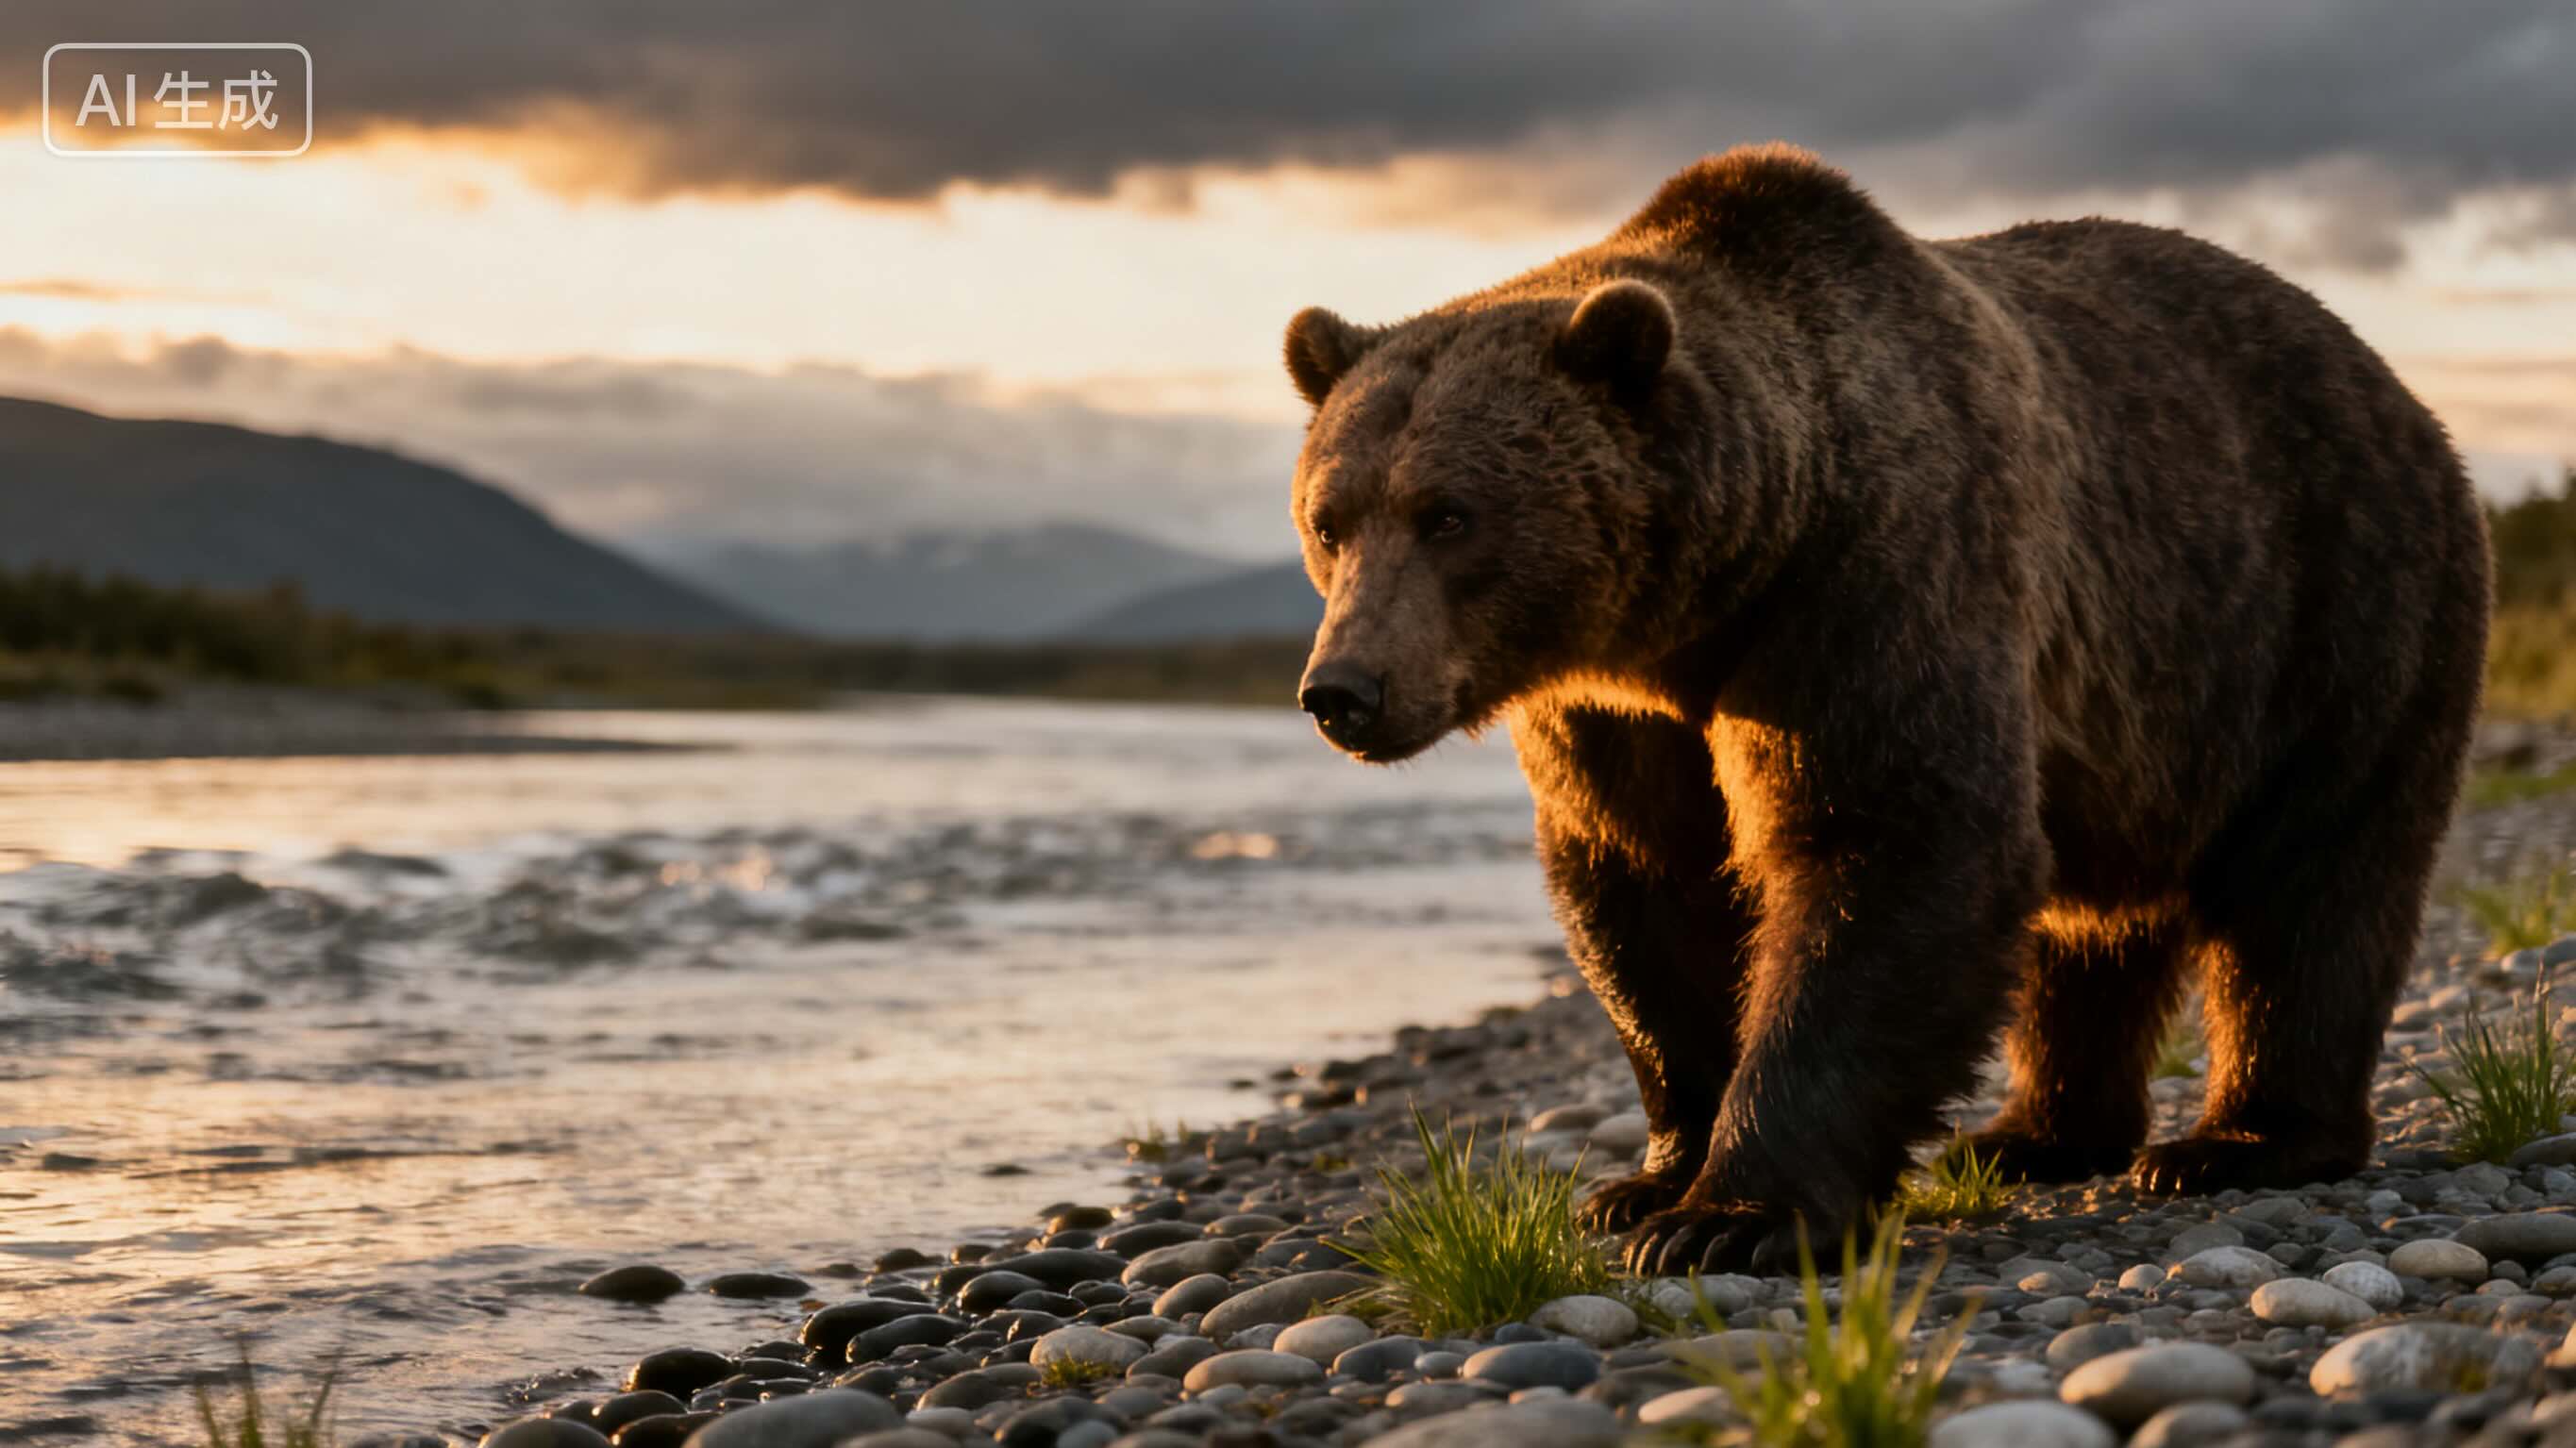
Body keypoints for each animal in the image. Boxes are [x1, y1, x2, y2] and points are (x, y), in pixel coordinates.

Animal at [1278, 144, 2491, 1273]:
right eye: (1330, 519)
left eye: (1449, 513)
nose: (1342, 690)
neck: (1701, 605)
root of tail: (2399, 390)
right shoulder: (1611, 709)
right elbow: (1641, 885)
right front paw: (1646, 1180)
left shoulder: (1874, 577)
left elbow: (1892, 840)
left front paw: (1733, 1215)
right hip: (2150, 724)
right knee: (2088, 925)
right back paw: (2036, 1132)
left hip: (2336, 605)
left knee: (2313, 881)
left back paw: (2240, 1141)